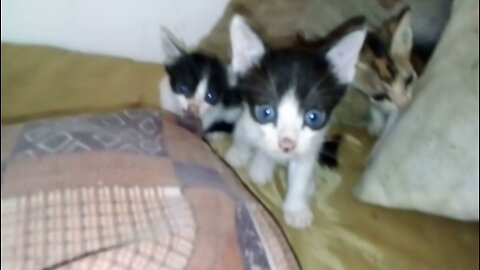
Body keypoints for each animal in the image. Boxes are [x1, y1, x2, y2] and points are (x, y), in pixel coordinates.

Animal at [223, 14, 366, 228]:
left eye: (313, 116)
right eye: (266, 112)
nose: (287, 144)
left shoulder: (309, 148)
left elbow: (300, 176)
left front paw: (296, 209)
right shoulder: (247, 119)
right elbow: (242, 136)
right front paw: (239, 154)